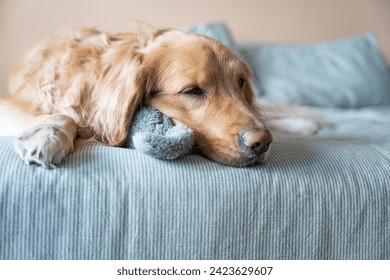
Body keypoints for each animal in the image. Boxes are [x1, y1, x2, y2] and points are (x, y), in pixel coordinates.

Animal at [0, 25, 320, 166]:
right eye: (192, 91)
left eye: (240, 82)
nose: (261, 142)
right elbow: (62, 116)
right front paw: (46, 136)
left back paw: (306, 123)